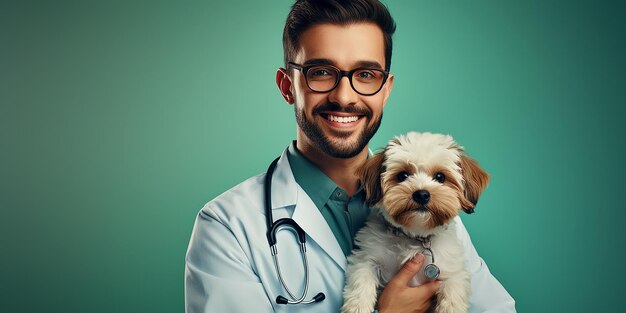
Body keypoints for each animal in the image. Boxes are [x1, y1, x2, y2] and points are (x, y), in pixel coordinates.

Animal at [342, 132, 488, 312]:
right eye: (403, 175)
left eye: (440, 177)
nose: (422, 194)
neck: (416, 237)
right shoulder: (367, 258)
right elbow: (361, 279)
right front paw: (358, 306)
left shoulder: (454, 271)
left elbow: (454, 291)